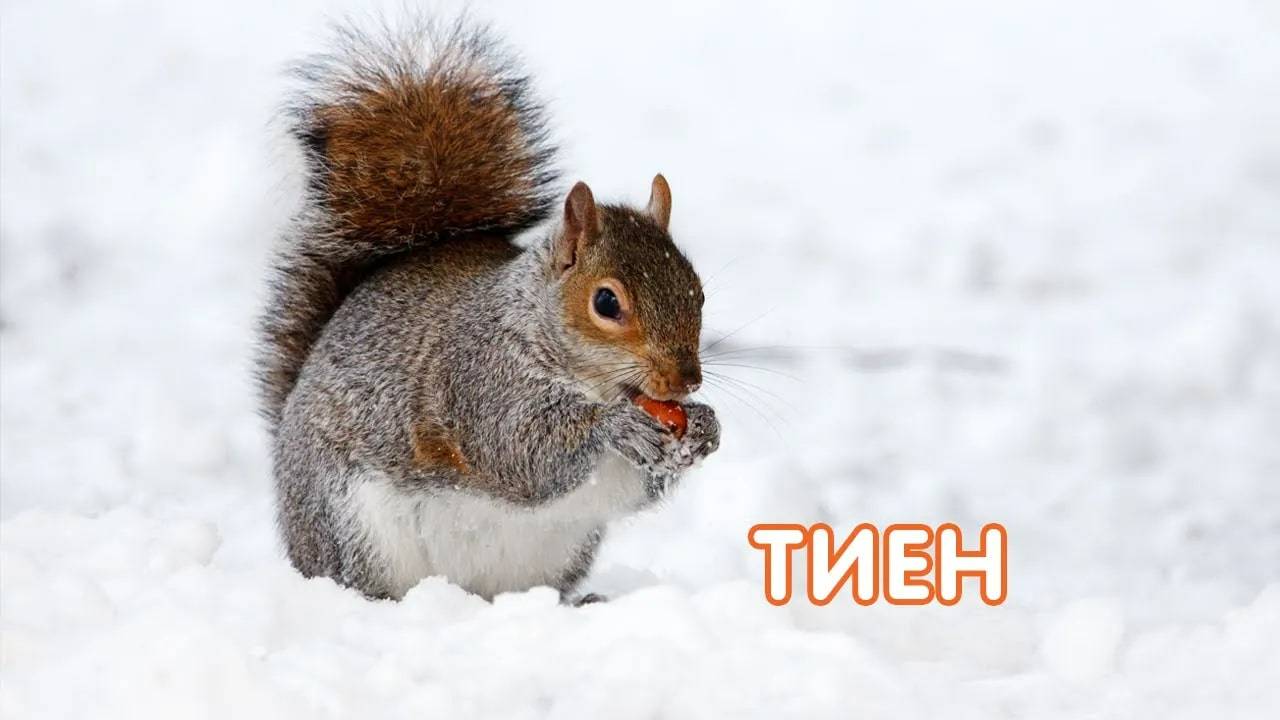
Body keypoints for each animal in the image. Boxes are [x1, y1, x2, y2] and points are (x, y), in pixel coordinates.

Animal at [256, 18, 720, 602]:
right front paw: (616, 427)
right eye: (606, 302)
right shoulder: (478, 378)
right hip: (351, 527)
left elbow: (638, 486)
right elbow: (519, 450)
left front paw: (704, 428)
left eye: (698, 291)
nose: (686, 381)